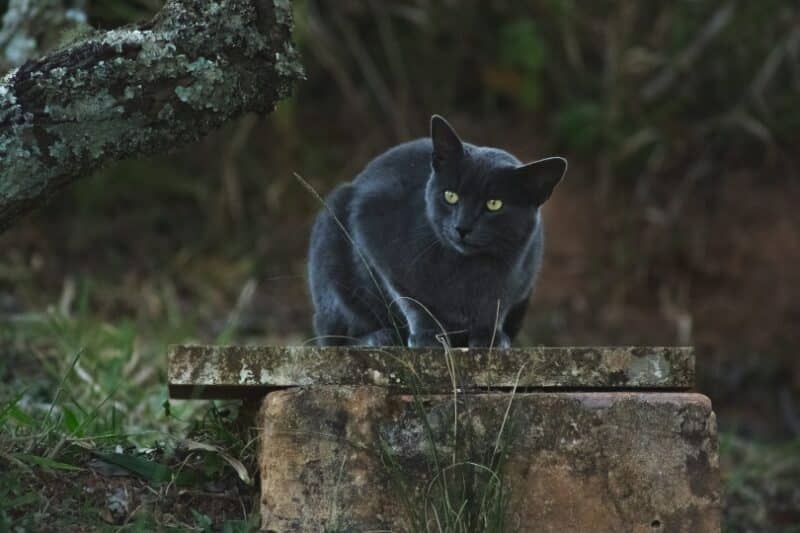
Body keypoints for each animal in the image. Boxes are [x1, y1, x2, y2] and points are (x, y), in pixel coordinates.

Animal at [310, 115, 564, 348]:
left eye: (494, 204)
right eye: (450, 196)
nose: (462, 227)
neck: (465, 270)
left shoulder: (521, 278)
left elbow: (496, 305)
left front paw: (489, 337)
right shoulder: (371, 228)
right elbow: (409, 298)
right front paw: (428, 336)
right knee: (334, 334)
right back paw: (379, 338)